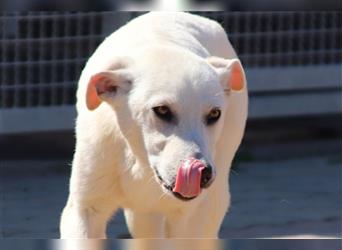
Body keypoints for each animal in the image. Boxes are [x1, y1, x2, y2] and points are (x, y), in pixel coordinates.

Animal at [60, 11, 247, 238]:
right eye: (162, 110)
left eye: (214, 114)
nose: (203, 173)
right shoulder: (84, 210)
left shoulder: (190, 219)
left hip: (210, 204)